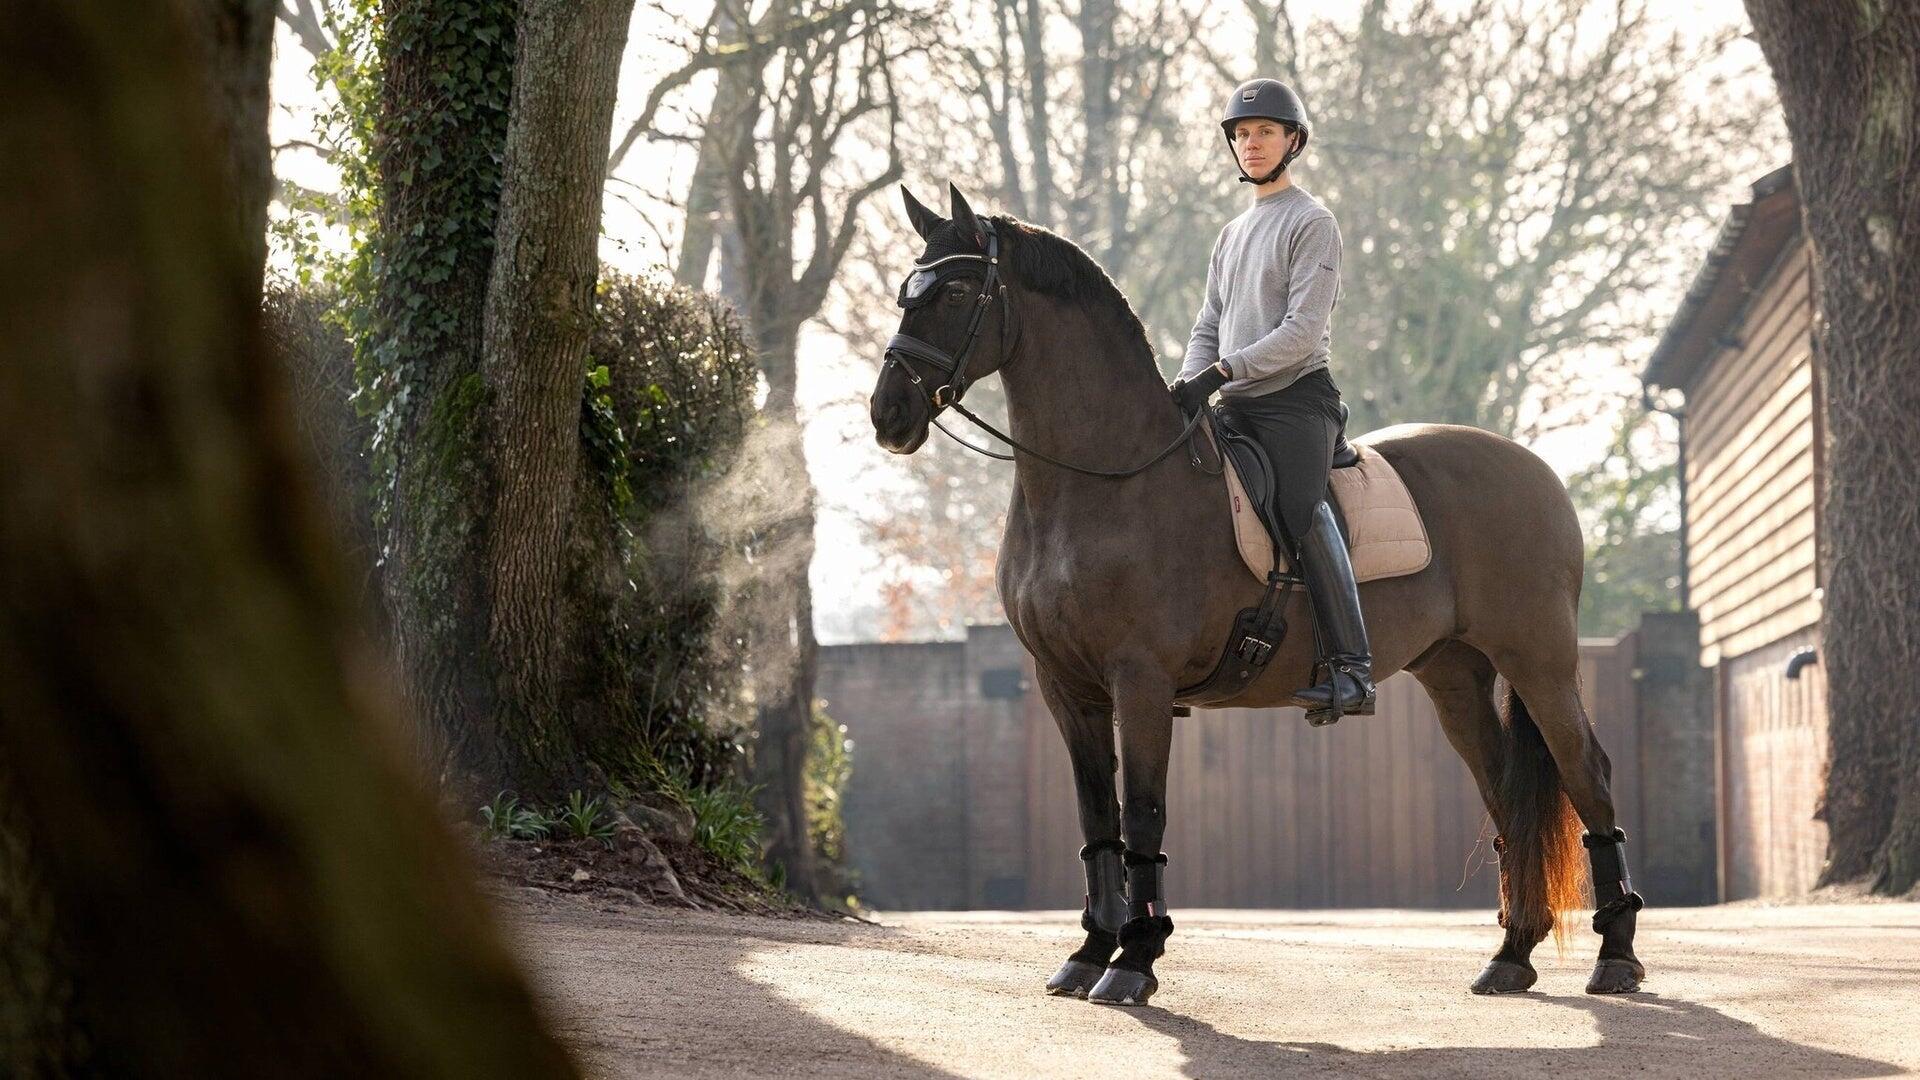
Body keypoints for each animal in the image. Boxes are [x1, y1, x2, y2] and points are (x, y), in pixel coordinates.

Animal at [868, 183, 1645, 1006]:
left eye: (954, 291)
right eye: (906, 290)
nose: (888, 415)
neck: (1108, 479)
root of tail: (1536, 471)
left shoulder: (1140, 682)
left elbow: (1144, 814)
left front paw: (1134, 961)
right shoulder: (1065, 686)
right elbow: (1097, 816)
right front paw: (1088, 954)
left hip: (1540, 662)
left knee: (1587, 776)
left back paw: (1616, 956)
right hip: (1456, 673)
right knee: (1505, 794)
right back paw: (1511, 954)